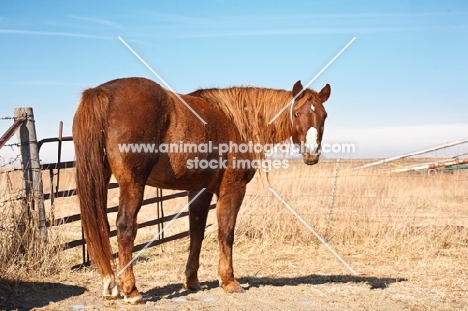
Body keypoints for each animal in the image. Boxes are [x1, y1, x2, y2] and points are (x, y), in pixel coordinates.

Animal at [72, 77, 330, 304]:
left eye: (324, 115)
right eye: (296, 114)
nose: (312, 153)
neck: (237, 122)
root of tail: (104, 91)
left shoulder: (199, 191)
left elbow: (196, 233)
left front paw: (192, 281)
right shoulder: (232, 189)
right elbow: (226, 233)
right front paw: (228, 281)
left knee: (100, 226)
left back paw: (110, 285)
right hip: (133, 183)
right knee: (125, 227)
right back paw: (131, 290)